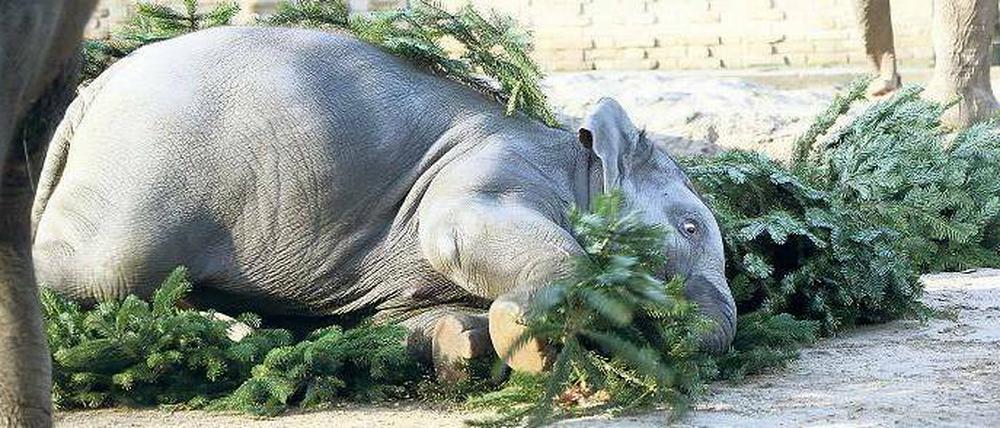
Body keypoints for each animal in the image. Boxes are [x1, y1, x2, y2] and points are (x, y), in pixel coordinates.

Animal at [31, 26, 736, 377]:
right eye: (691, 228)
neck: (568, 146)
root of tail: (89, 96)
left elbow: (402, 318)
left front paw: (459, 341)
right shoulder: (487, 165)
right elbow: (454, 228)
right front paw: (531, 344)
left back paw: (239, 329)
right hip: (138, 189)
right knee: (95, 272)